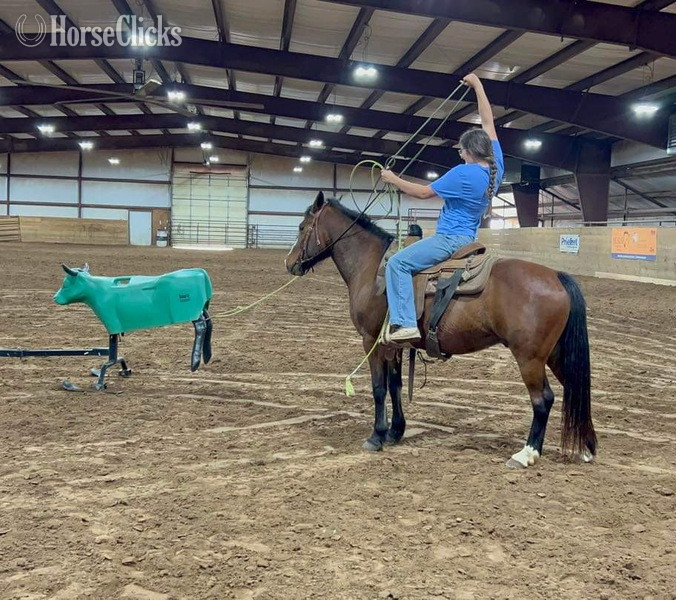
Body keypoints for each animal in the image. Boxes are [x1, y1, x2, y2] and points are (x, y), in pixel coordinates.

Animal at [285, 192, 596, 469]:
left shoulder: (371, 341)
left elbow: (378, 388)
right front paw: (396, 431)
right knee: (574, 389)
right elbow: (396, 386)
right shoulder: (394, 345)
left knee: (543, 399)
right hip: (556, 354)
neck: (372, 270)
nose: (289, 263)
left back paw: (526, 454)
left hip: (530, 358)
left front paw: (376, 436)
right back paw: (585, 448)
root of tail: (556, 276)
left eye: (301, 227)